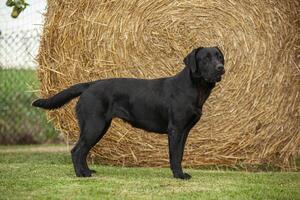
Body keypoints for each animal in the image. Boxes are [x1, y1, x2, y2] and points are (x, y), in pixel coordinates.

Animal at [32, 47, 225, 180]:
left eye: (219, 56)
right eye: (205, 58)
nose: (220, 67)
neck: (194, 88)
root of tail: (89, 85)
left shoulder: (184, 131)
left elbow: (180, 153)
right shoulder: (175, 129)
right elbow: (175, 155)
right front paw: (179, 175)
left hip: (98, 127)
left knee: (82, 151)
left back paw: (87, 171)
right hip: (95, 125)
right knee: (77, 150)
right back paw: (82, 174)